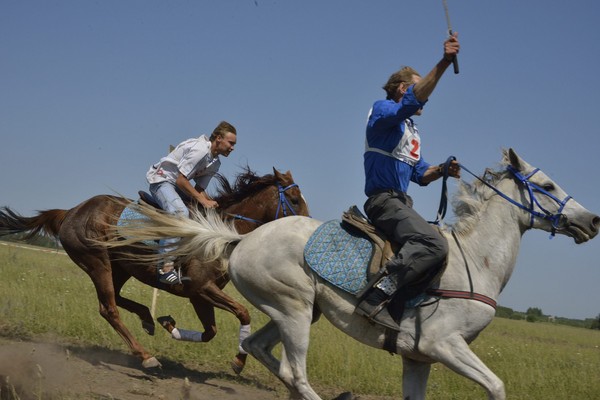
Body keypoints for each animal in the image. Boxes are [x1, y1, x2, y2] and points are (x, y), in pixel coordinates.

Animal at [0, 166, 310, 372]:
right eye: (295, 199)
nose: (307, 229)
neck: (218, 235)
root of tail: (70, 212)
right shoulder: (202, 288)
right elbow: (243, 312)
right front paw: (238, 360)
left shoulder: (198, 295)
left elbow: (210, 331)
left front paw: (169, 325)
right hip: (96, 261)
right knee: (108, 308)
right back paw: (146, 355)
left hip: (121, 267)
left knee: (117, 298)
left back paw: (148, 319)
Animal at [115, 148, 596, 398]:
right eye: (548, 187)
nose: (591, 220)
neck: (476, 262)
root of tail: (241, 239)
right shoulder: (443, 345)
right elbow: (496, 386)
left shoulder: (417, 358)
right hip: (293, 309)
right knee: (294, 371)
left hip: (297, 311)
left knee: (258, 348)